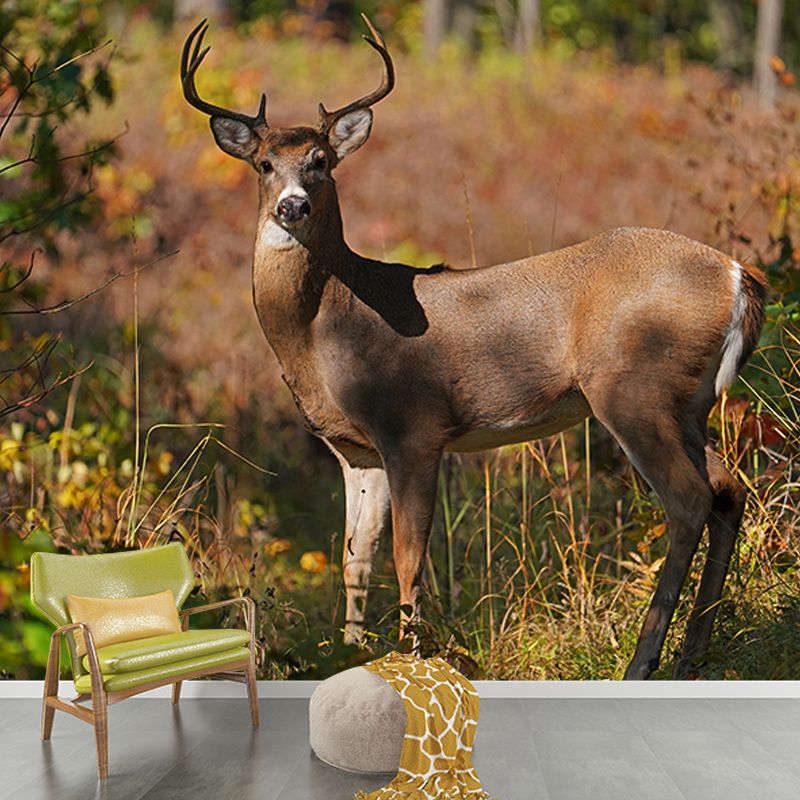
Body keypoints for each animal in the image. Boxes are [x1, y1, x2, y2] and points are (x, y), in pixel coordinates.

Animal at [180, 17, 767, 680]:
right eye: (262, 163)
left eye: (321, 162)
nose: (293, 205)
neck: (326, 329)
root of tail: (739, 277)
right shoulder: (357, 452)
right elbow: (355, 558)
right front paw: (351, 652)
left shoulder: (413, 426)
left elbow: (408, 558)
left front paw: (410, 658)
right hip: (689, 404)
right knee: (728, 492)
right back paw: (693, 654)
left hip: (632, 387)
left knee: (690, 499)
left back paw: (643, 664)